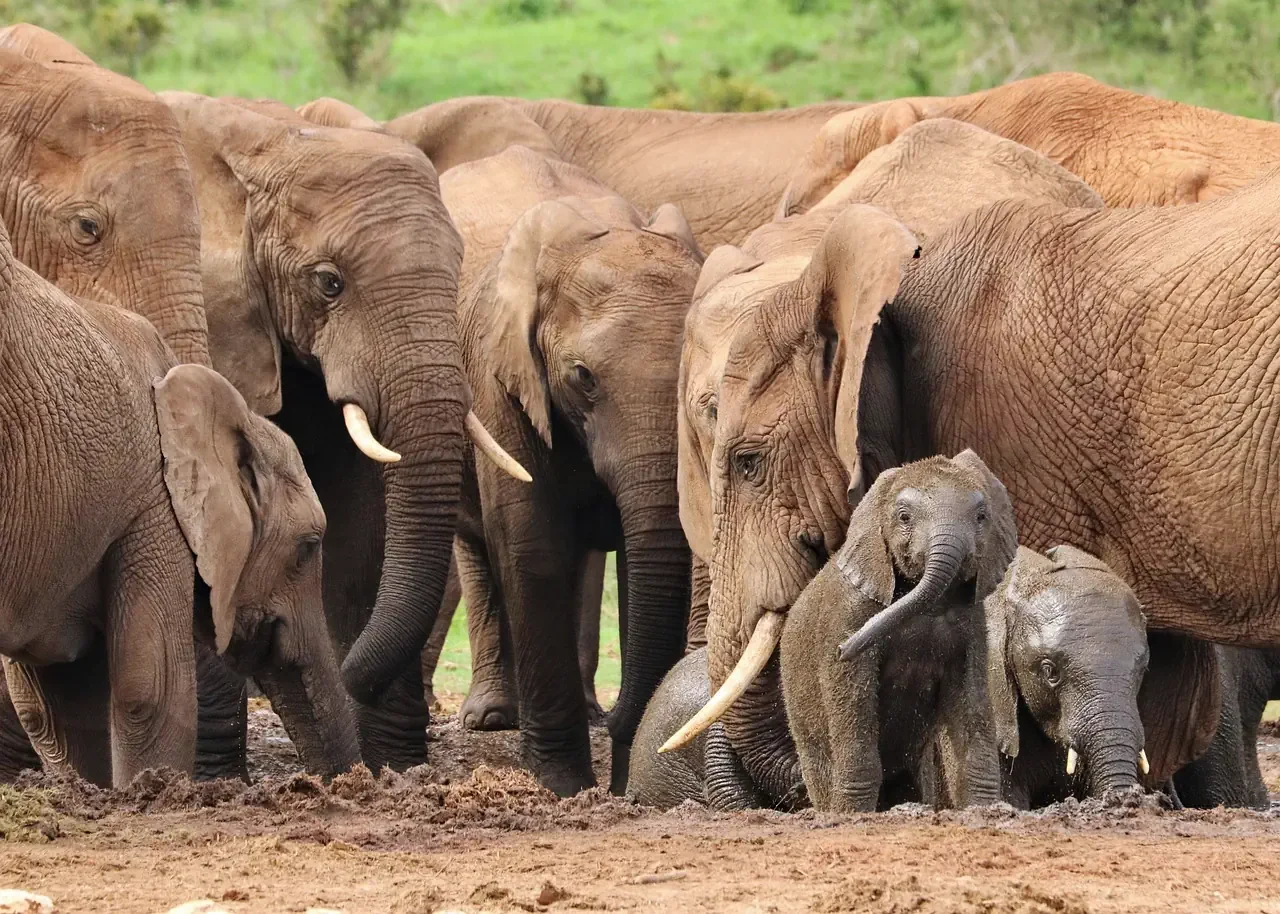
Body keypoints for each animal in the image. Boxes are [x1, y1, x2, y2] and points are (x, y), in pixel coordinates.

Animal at [160, 92, 527, 774]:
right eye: (329, 283)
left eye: (458, 272)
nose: (349, 670)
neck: (269, 142)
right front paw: (214, 779)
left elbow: (360, 517)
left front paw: (391, 769)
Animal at [439, 145, 702, 795]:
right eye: (582, 377)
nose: (623, 722)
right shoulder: (499, 378)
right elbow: (531, 546)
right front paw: (562, 785)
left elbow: (642, 561)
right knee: (477, 546)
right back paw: (491, 718)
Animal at [780, 451, 1013, 812]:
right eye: (904, 517)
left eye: (981, 516)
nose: (844, 649)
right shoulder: (848, 615)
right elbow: (854, 707)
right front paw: (852, 815)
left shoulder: (973, 628)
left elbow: (972, 709)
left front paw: (983, 810)